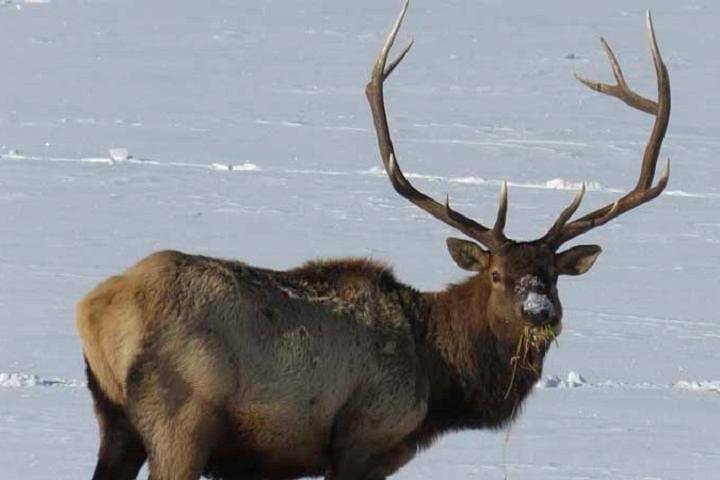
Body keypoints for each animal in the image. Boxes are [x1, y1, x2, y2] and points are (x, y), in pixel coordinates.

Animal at [77, 2, 671, 479]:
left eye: (552, 276)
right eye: (498, 274)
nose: (540, 311)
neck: (438, 379)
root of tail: (96, 308)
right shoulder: (362, 438)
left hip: (115, 419)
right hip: (181, 416)